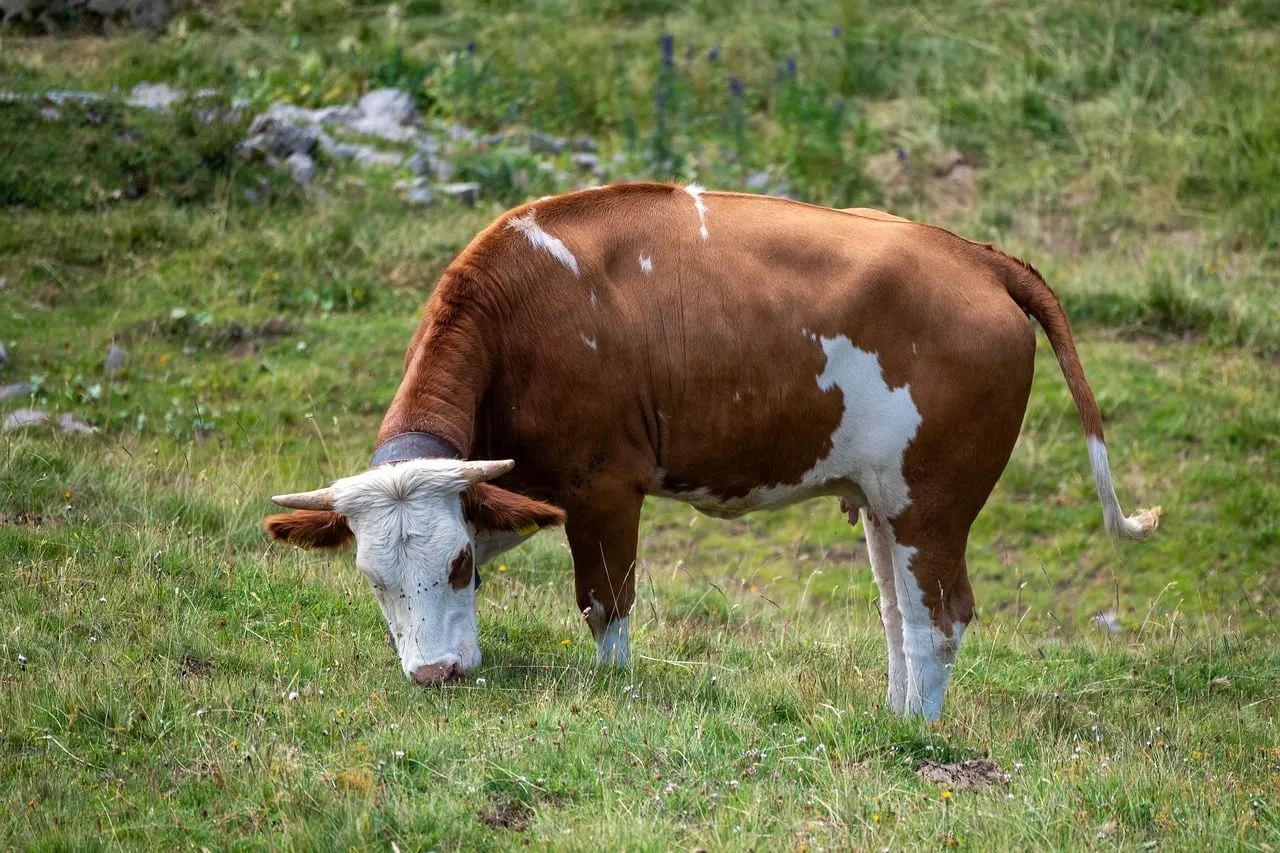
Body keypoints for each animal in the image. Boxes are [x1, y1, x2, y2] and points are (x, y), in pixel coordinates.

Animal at [264, 182, 1159, 721]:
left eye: (454, 564)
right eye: (372, 577)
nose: (436, 675)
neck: (522, 314)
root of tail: (974, 254)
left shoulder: (604, 486)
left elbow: (606, 606)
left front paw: (612, 693)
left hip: (930, 502)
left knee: (940, 616)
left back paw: (922, 739)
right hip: (884, 501)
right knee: (898, 613)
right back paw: (896, 723)